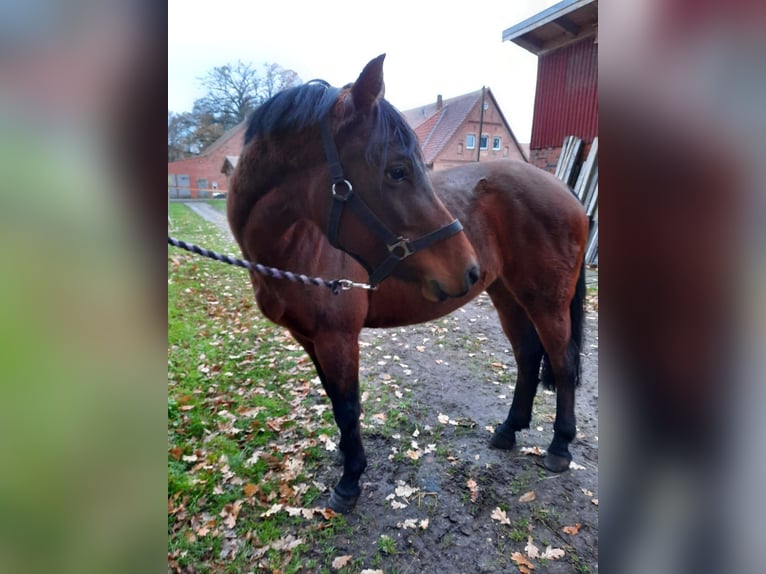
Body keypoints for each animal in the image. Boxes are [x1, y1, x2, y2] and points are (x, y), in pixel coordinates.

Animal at [226, 55, 588, 512]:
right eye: (397, 170)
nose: (468, 268)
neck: (299, 240)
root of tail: (566, 190)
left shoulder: (337, 338)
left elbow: (348, 407)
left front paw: (350, 480)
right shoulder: (308, 338)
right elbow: (334, 399)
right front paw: (347, 459)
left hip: (546, 302)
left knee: (562, 362)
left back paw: (559, 447)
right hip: (507, 294)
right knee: (528, 355)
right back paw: (508, 431)